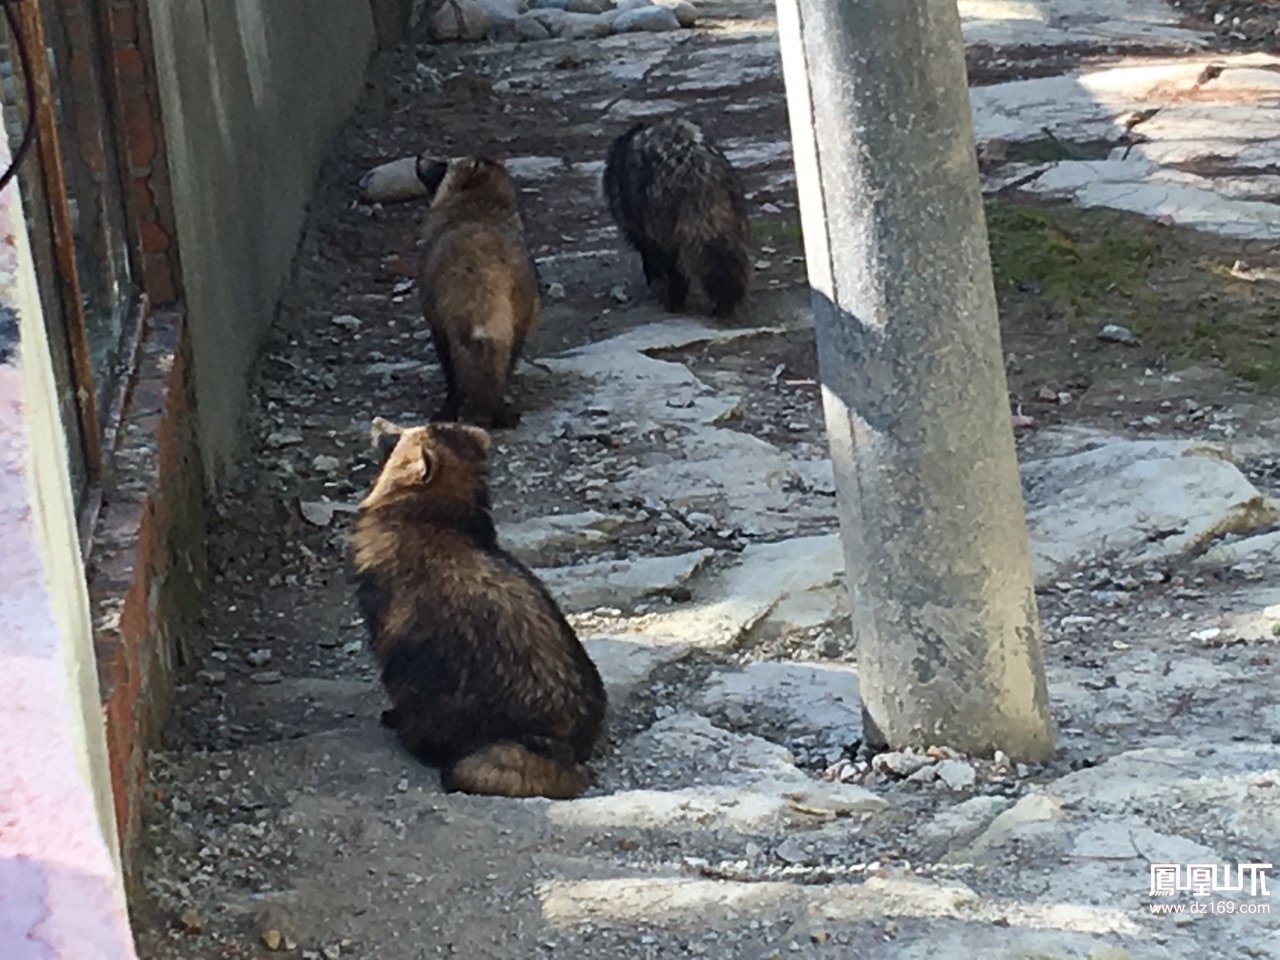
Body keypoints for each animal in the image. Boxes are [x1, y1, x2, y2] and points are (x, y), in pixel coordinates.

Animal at [604, 120, 752, 320]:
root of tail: (694, 164)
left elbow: (650, 253)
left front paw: (657, 282)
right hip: (730, 205)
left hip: (661, 212)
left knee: (673, 259)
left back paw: (676, 299)